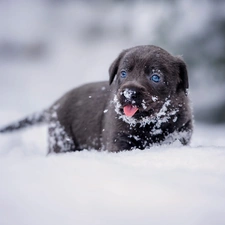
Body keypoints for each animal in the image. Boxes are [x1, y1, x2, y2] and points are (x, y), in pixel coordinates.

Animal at [0, 45, 193, 154]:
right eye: (123, 73)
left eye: (155, 77)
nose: (129, 93)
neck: (149, 125)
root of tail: (54, 105)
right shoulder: (117, 141)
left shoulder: (180, 133)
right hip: (61, 139)